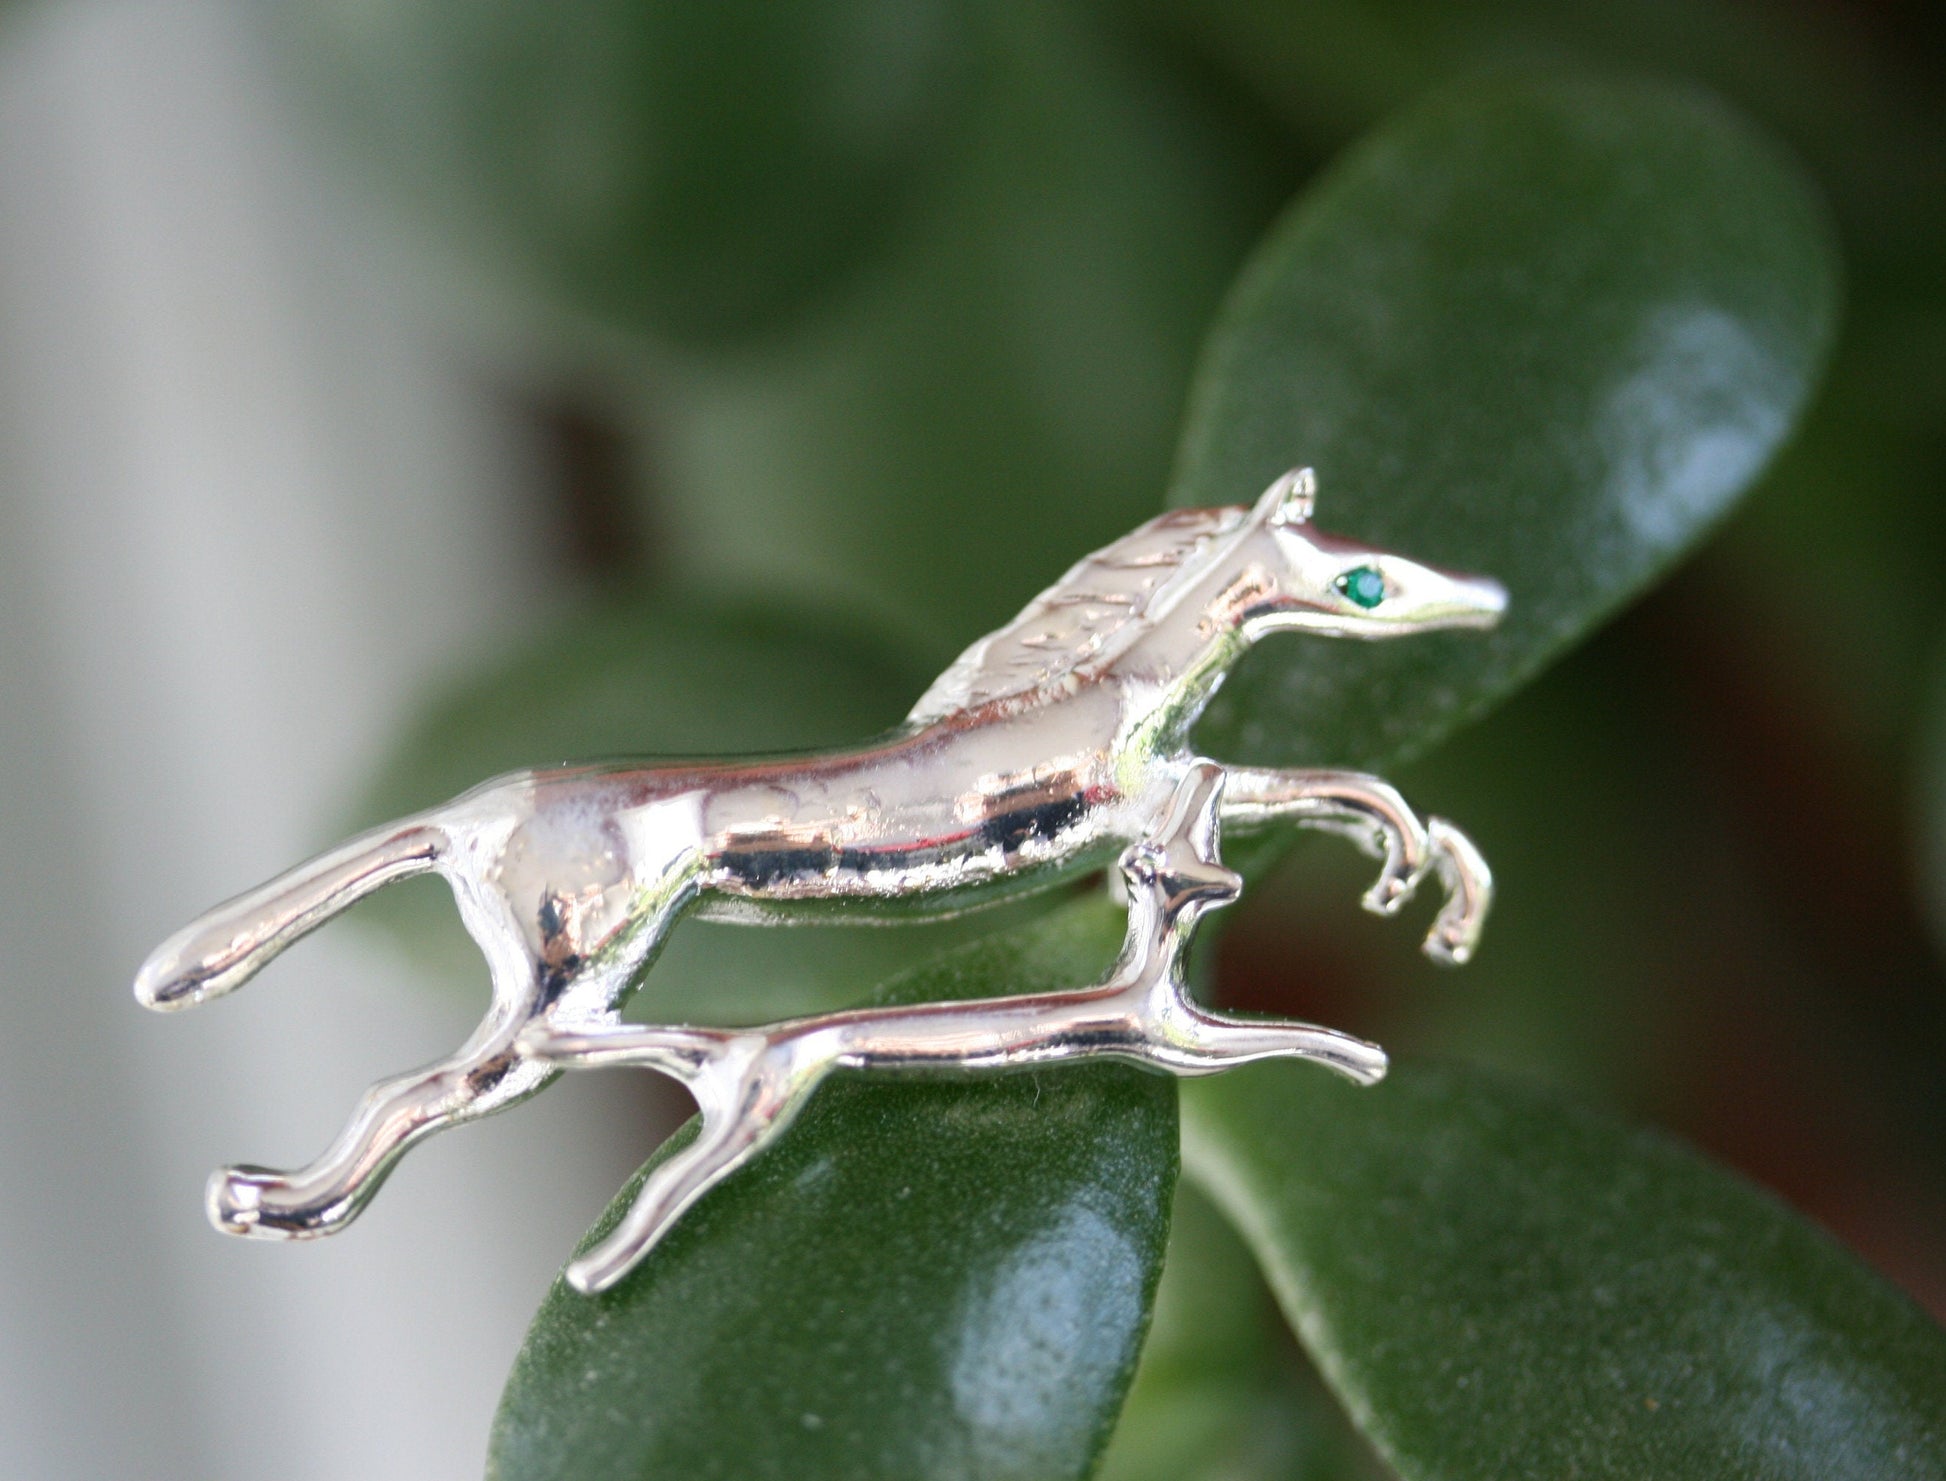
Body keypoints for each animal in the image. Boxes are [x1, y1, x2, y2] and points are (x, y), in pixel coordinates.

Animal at [135, 467, 1505, 1280]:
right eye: (1364, 576)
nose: (1483, 596)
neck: (1103, 684)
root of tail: (468, 812)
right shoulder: (1122, 806)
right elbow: (1286, 789)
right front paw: (1405, 887)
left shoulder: (1166, 800)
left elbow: (1309, 789)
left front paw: (1434, 892)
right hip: (578, 959)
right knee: (443, 1080)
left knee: (428, 1086)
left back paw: (264, 1196)